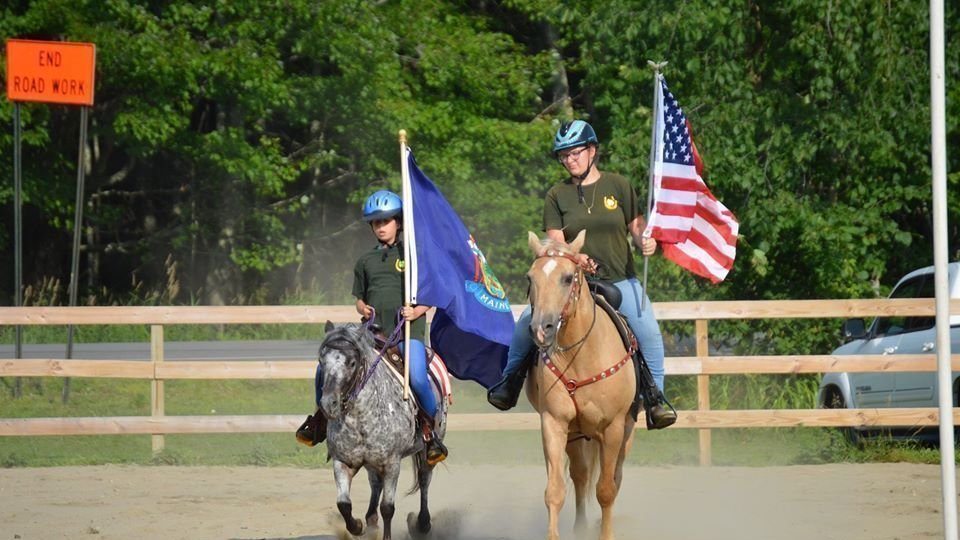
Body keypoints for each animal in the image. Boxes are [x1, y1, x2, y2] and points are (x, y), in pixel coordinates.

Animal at [317, 321, 447, 540]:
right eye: (322, 361)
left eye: (352, 363)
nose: (328, 404)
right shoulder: (342, 461)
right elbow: (343, 504)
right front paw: (358, 526)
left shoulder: (392, 463)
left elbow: (388, 508)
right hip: (372, 462)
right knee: (375, 483)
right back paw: (370, 520)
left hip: (428, 448)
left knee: (424, 478)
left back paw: (422, 523)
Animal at [524, 230, 637, 540]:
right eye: (530, 278)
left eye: (566, 277)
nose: (541, 329)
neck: (581, 354)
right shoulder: (554, 423)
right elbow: (555, 492)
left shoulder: (612, 428)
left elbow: (606, 490)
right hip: (576, 435)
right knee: (581, 475)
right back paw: (581, 527)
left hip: (626, 431)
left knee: (615, 477)